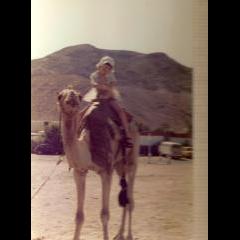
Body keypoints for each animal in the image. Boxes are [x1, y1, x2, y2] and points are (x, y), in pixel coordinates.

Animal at [57, 88, 140, 240]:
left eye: (79, 96)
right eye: (60, 96)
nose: (71, 98)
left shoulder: (106, 171)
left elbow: (104, 214)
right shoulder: (79, 171)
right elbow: (79, 216)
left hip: (132, 158)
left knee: (130, 200)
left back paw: (129, 235)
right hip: (119, 165)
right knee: (125, 197)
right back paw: (119, 234)